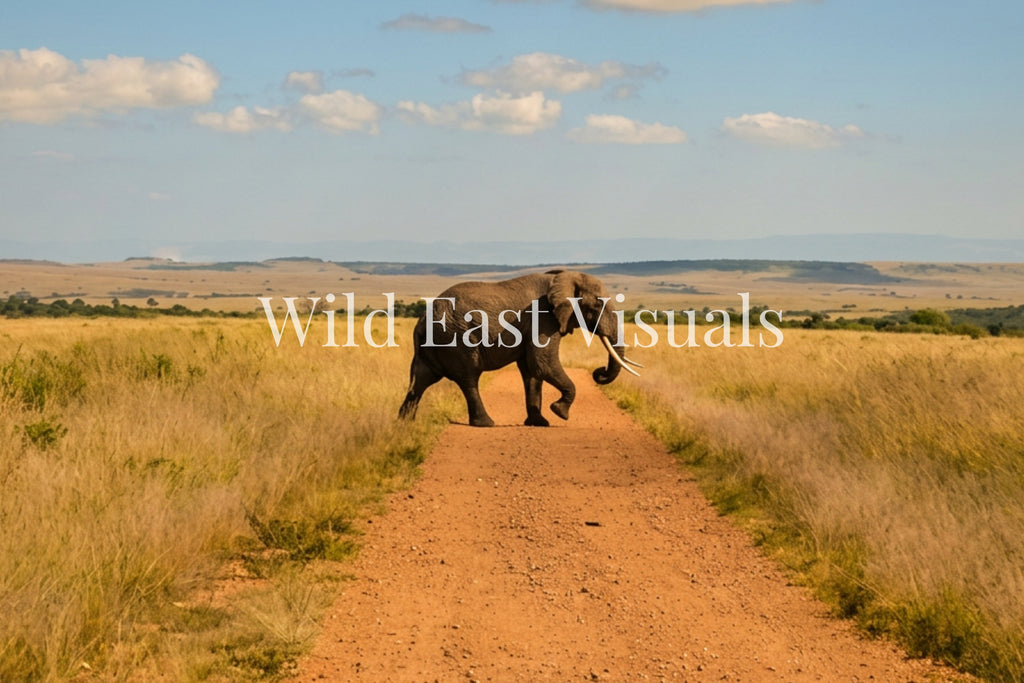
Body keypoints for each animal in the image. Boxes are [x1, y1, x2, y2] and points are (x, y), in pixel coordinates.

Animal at [398, 269, 641, 427]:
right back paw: (486, 423)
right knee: (468, 379)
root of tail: (423, 319)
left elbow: (532, 371)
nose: (598, 373)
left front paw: (539, 423)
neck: (563, 277)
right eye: (598, 304)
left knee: (420, 380)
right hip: (456, 339)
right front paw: (560, 413)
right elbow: (542, 364)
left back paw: (404, 425)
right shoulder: (542, 318)